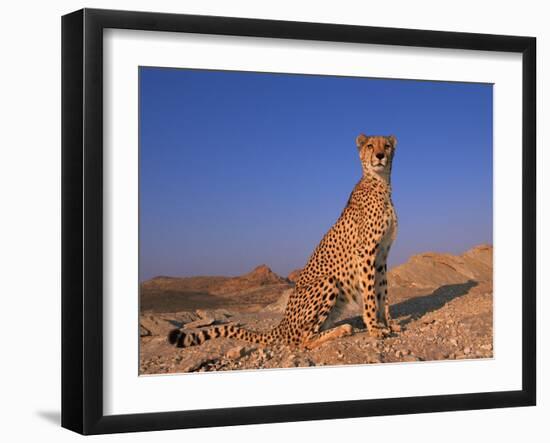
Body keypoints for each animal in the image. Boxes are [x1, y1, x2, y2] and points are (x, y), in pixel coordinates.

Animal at [170, 134, 398, 350]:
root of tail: (282, 324)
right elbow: (370, 295)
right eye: (370, 146)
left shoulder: (381, 255)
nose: (380, 156)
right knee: (302, 340)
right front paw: (374, 328)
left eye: (386, 146)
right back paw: (342, 329)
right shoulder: (366, 252)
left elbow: (382, 292)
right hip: (328, 281)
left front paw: (389, 323)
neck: (380, 184)